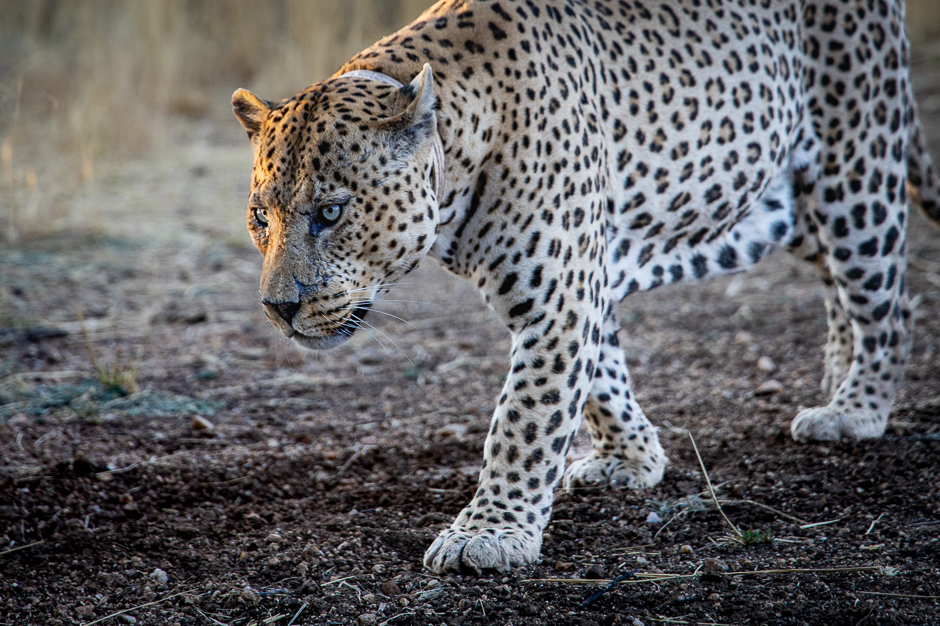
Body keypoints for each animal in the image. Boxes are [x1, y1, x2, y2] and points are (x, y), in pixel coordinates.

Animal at [229, 0, 940, 572]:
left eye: (330, 213)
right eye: (261, 217)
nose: (277, 308)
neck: (456, 158)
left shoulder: (560, 296)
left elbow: (524, 418)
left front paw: (488, 535)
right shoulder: (579, 283)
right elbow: (600, 378)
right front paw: (633, 458)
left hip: (855, 168)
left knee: (887, 299)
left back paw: (854, 409)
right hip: (786, 201)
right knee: (840, 286)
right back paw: (837, 378)